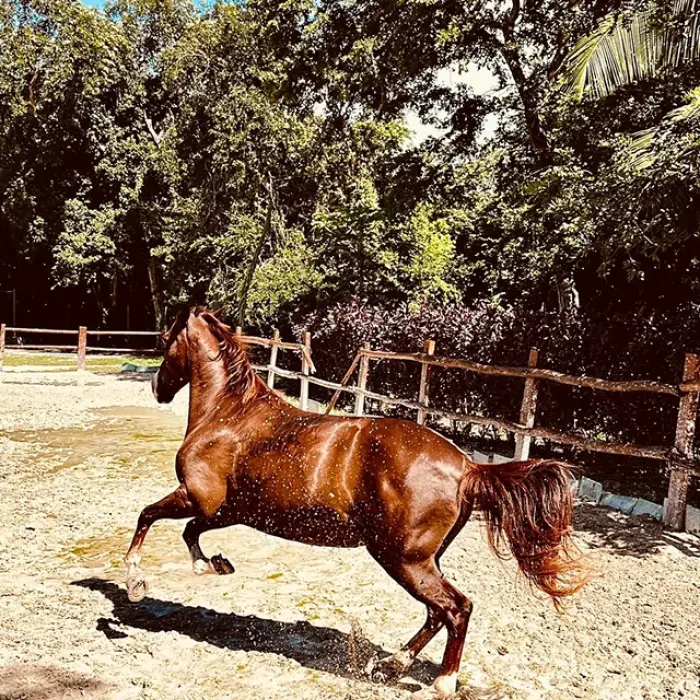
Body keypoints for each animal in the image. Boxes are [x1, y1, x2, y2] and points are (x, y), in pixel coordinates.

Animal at [124, 306, 587, 699]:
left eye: (166, 340)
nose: (157, 388)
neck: (229, 416)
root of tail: (467, 468)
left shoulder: (198, 498)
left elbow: (148, 515)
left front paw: (134, 583)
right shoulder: (228, 510)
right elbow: (189, 531)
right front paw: (214, 564)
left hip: (402, 558)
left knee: (457, 608)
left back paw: (441, 682)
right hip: (421, 559)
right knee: (437, 613)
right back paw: (389, 664)